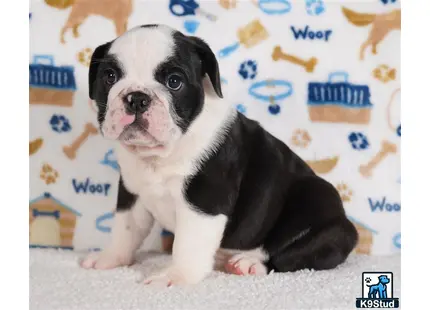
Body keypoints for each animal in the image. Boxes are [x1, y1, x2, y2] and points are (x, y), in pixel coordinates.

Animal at [80, 24, 356, 286]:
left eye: (174, 82)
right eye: (110, 76)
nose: (136, 97)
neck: (160, 154)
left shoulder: (204, 199)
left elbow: (188, 244)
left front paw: (176, 276)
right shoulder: (132, 192)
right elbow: (125, 229)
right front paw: (111, 258)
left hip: (321, 215)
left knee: (288, 256)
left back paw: (250, 263)